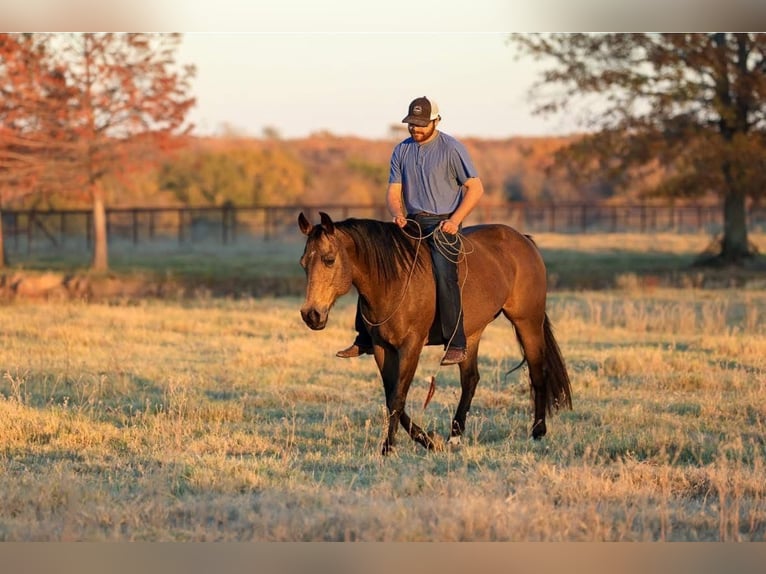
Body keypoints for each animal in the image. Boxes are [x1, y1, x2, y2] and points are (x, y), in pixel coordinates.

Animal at [296, 209, 572, 456]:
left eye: (329, 259)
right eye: (303, 264)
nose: (311, 315)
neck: (393, 282)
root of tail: (524, 240)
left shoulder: (411, 346)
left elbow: (398, 397)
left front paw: (389, 448)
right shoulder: (381, 348)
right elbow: (391, 397)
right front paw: (427, 441)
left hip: (527, 322)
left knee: (537, 373)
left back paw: (538, 431)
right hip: (470, 334)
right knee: (470, 380)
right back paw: (455, 436)